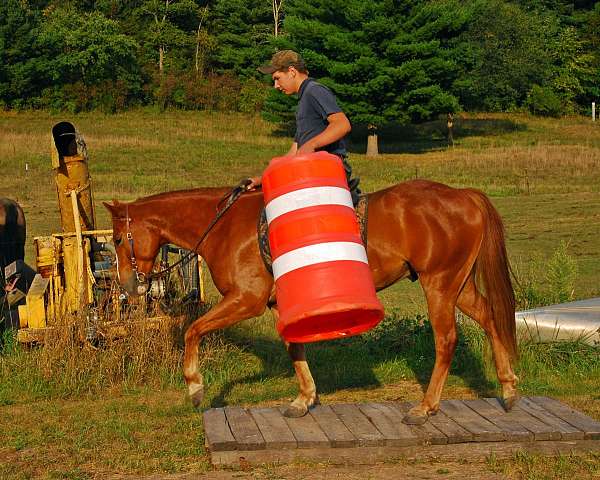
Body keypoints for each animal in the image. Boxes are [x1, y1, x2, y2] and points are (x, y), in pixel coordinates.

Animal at [105, 180, 516, 424]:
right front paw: (304, 398)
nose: (127, 286)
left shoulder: (246, 300)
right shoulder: (279, 307)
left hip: (439, 286)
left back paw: (426, 407)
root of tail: (463, 195)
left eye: (119, 239)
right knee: (491, 319)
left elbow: (193, 330)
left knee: (446, 340)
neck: (225, 226)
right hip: (459, 286)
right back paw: (508, 389)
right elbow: (294, 347)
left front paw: (194, 387)